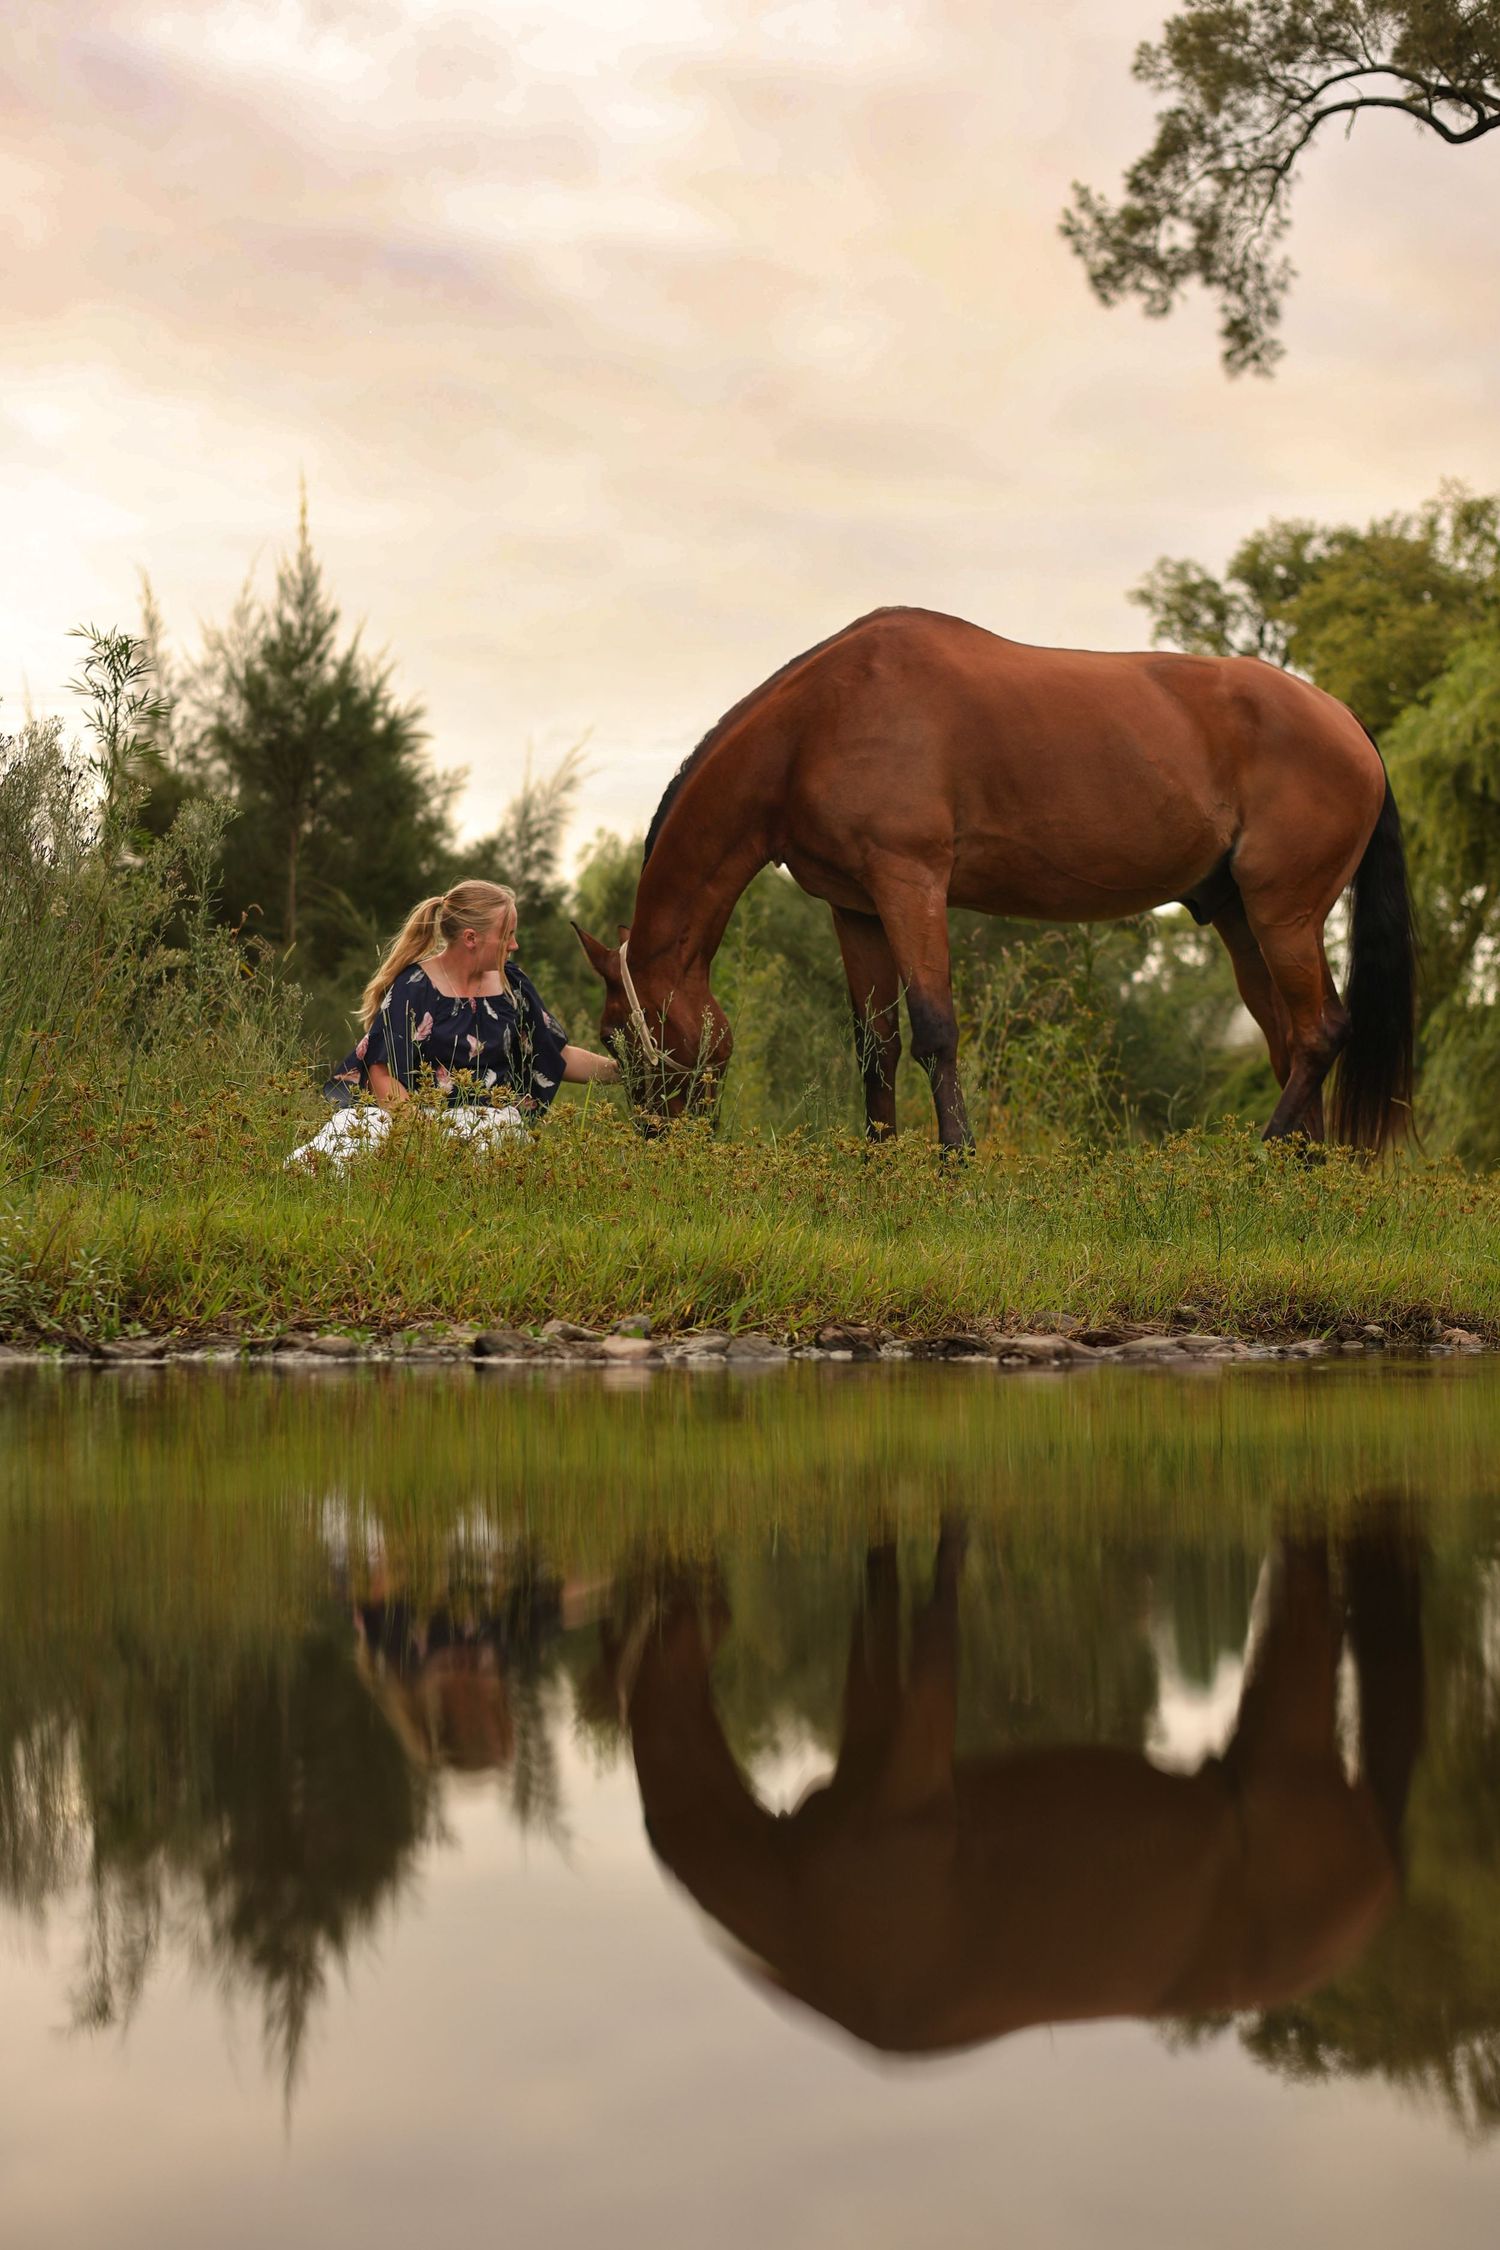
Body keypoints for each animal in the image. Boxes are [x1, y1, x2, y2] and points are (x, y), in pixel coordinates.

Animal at [575, 606, 1417, 1149]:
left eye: (616, 1035)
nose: (655, 1139)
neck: (816, 724)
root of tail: (1347, 722)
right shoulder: (856, 909)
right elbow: (876, 1045)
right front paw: (878, 1163)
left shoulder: (910, 884)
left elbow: (935, 1028)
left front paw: (956, 1158)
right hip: (1244, 921)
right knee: (1289, 1039)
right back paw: (1299, 1173)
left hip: (1283, 914)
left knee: (1320, 1032)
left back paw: (1265, 1158)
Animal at [603, 1525, 1422, 2056]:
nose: (695, 1581)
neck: (802, 1907)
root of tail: (1383, 1868)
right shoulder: (873, 1737)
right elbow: (879, 1587)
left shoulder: (914, 1763)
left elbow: (939, 1601)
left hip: (1287, 1721)